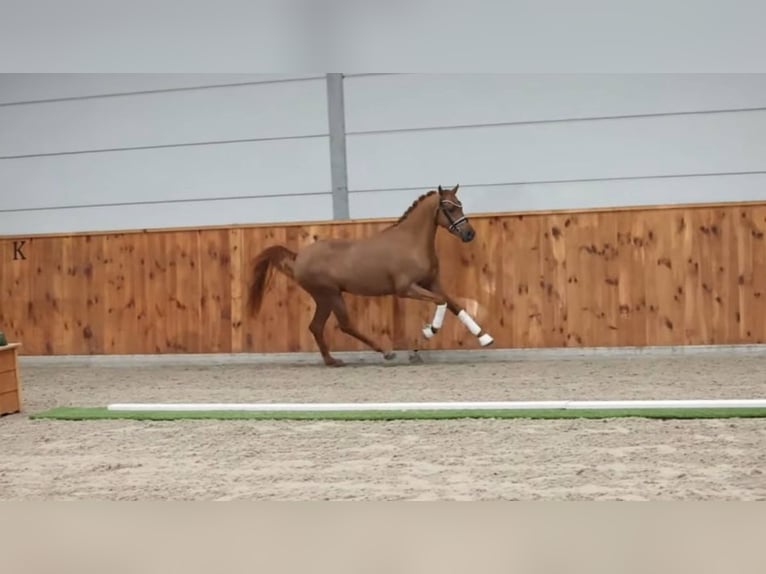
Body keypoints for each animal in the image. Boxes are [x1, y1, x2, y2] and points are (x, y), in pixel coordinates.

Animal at [246, 184, 494, 366]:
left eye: (460, 205)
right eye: (450, 209)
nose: (469, 234)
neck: (412, 243)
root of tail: (298, 256)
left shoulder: (431, 283)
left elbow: (454, 305)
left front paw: (485, 338)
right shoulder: (405, 289)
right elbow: (442, 302)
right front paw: (428, 331)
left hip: (326, 297)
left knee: (317, 327)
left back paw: (333, 361)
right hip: (329, 294)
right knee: (342, 325)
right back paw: (384, 353)